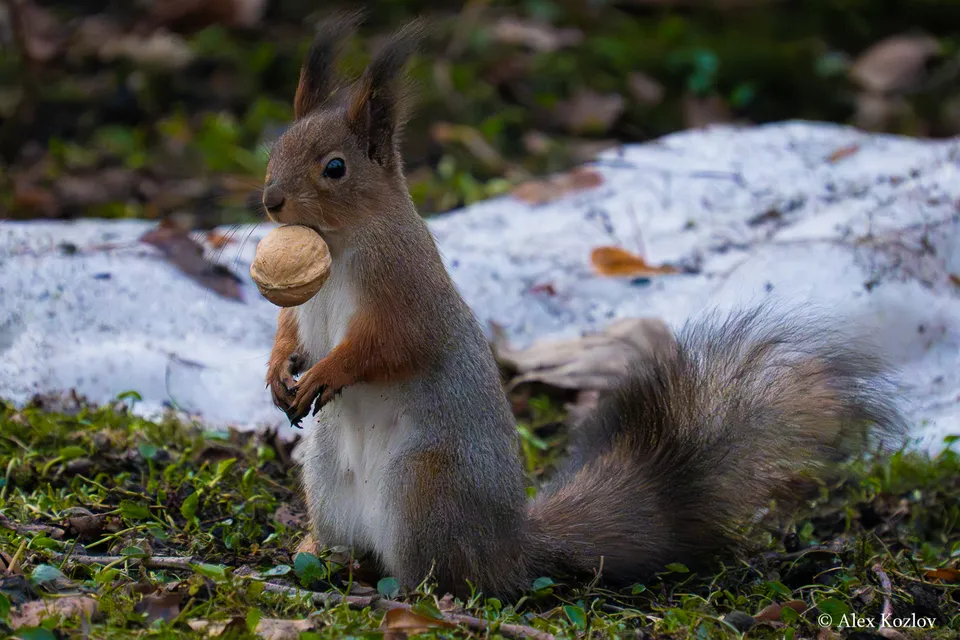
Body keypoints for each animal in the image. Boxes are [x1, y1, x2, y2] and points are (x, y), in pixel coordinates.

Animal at [260, 13, 905, 599]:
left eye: (335, 168)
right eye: (276, 147)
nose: (270, 201)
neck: (340, 243)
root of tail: (512, 548)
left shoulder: (404, 289)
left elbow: (390, 345)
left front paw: (328, 370)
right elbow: (290, 326)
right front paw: (278, 368)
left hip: (424, 488)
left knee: (444, 576)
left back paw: (411, 594)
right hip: (327, 475)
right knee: (353, 542)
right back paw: (316, 555)